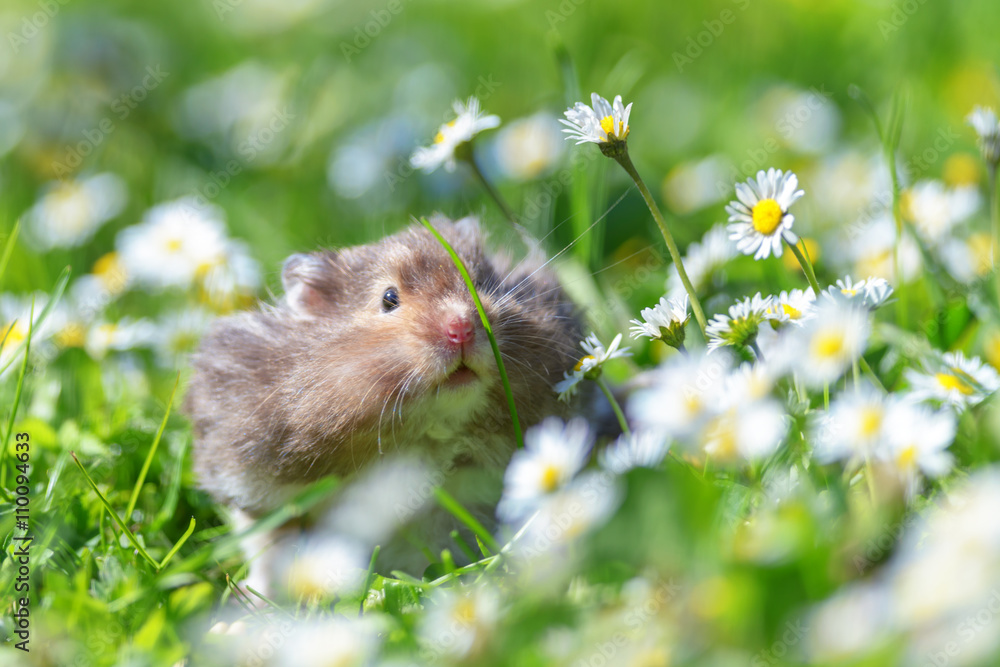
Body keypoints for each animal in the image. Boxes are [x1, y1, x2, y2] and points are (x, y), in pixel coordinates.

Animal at [183, 216, 581, 588]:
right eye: (389, 299)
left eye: (481, 283)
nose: (462, 328)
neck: (426, 429)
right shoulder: (253, 485)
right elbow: (269, 548)